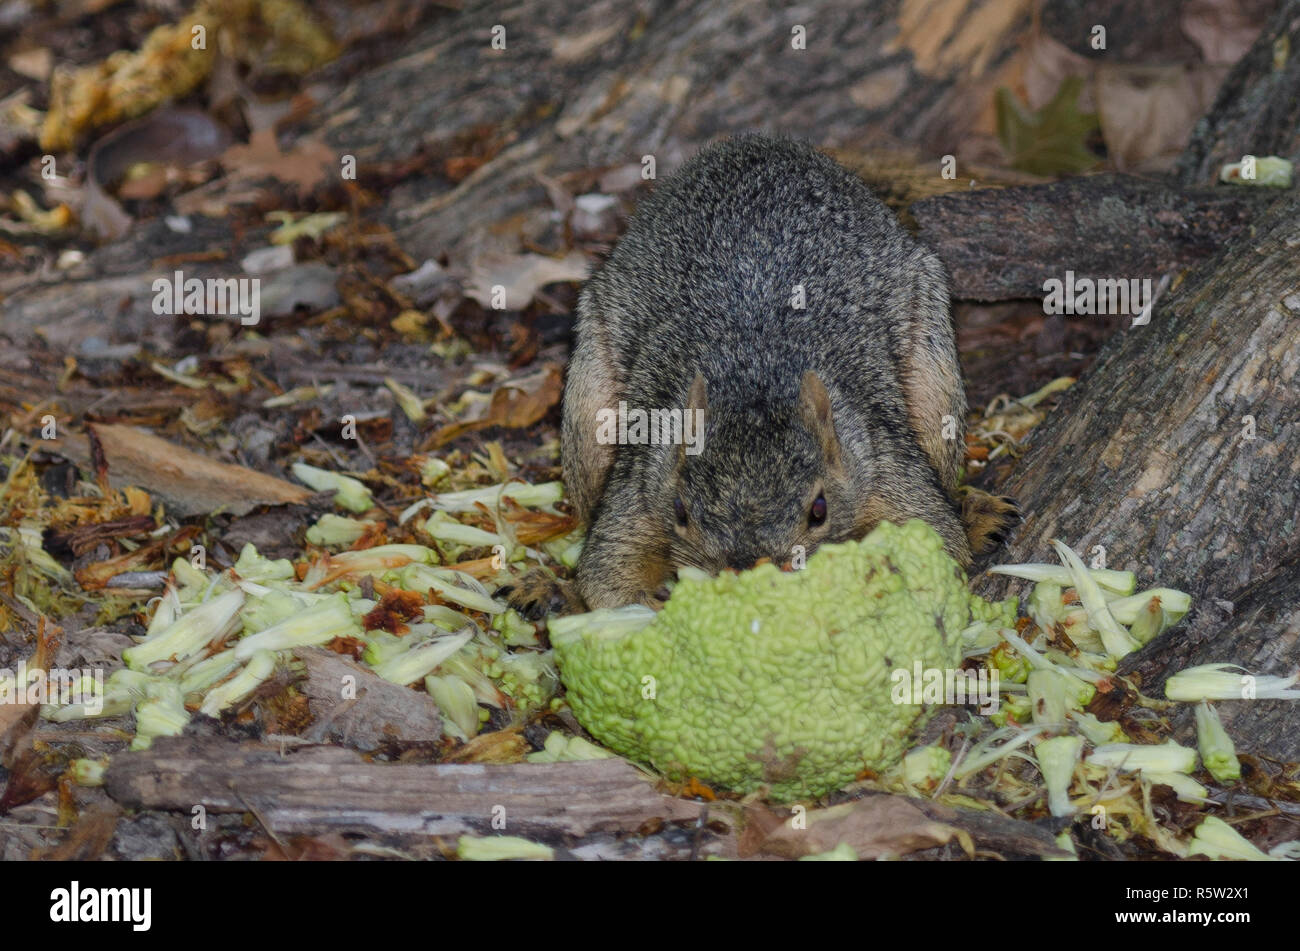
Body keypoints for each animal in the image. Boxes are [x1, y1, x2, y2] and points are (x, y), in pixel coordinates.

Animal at [509, 134, 1017, 614]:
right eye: (680, 510)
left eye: (819, 509)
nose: (749, 576)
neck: (753, 376)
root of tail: (759, 143)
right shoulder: (642, 481)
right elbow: (608, 573)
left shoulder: (884, 465)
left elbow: (936, 542)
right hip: (588, 419)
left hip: (934, 382)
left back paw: (978, 513)